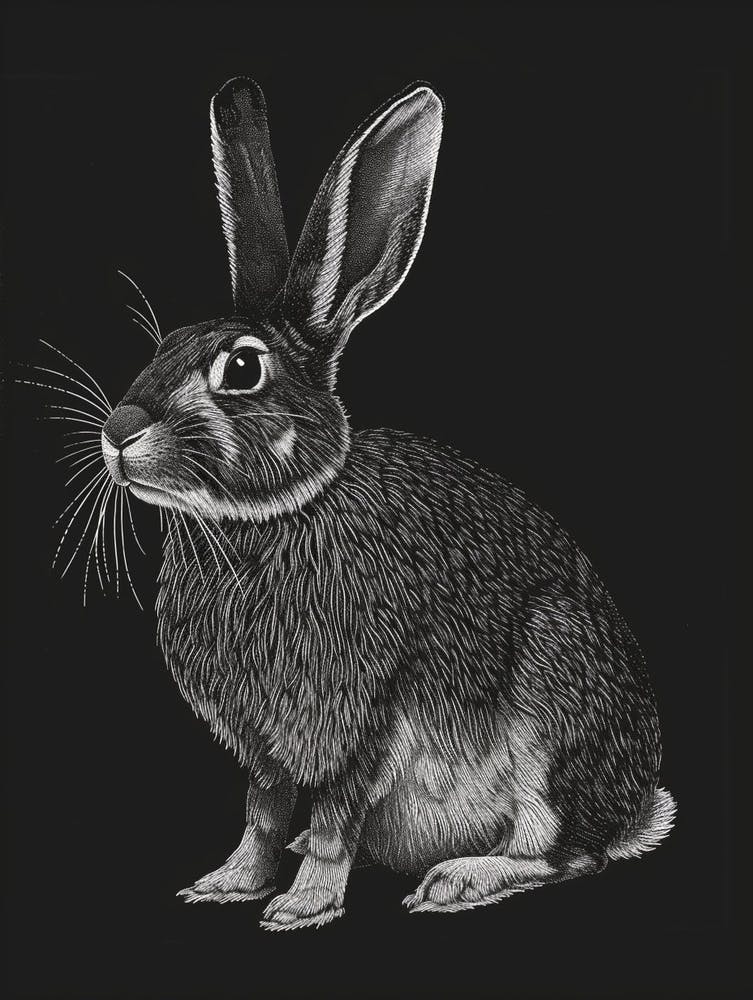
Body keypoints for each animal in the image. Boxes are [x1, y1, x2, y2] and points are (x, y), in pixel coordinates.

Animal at [100, 77, 676, 930]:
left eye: (241, 369)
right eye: (163, 344)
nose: (117, 431)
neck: (268, 523)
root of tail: (638, 808)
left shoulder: (363, 714)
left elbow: (334, 816)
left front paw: (301, 907)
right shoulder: (264, 743)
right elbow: (262, 812)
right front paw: (228, 883)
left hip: (553, 696)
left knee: (566, 852)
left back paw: (459, 880)